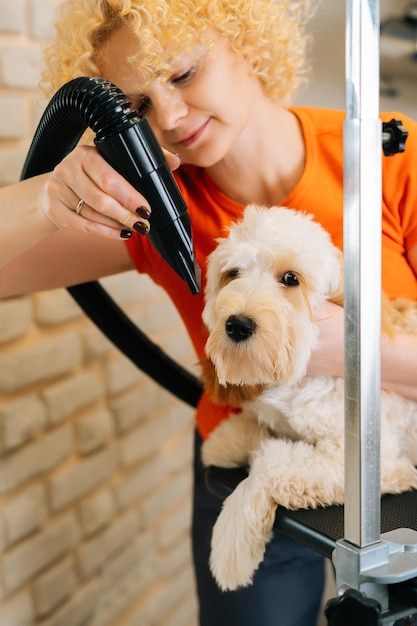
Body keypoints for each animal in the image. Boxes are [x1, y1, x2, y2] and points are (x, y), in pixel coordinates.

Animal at [200, 204, 416, 588]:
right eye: (232, 273)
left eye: (290, 278)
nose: (237, 325)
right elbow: (253, 431)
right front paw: (225, 441)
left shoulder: (370, 464)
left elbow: (268, 466)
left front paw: (231, 540)